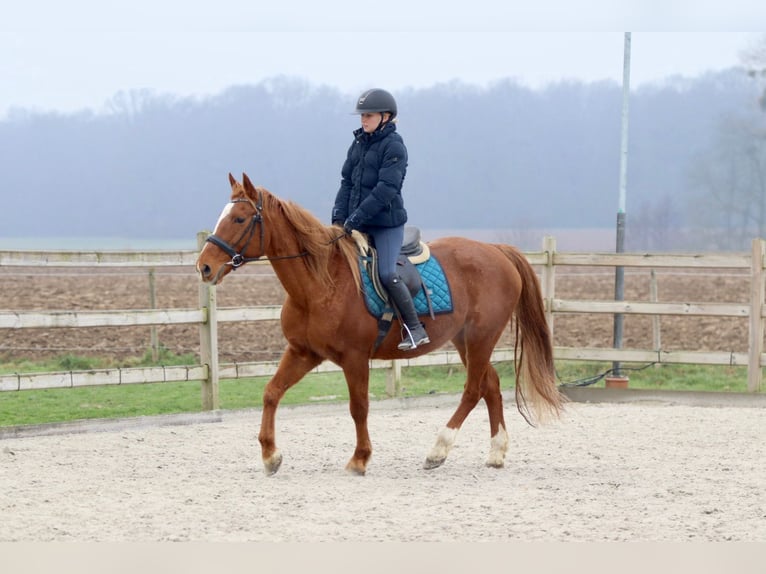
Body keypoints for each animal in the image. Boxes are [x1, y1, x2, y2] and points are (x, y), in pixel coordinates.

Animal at [196, 173, 565, 476]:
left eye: (239, 218)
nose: (204, 267)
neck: (320, 284)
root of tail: (497, 250)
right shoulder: (303, 352)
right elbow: (271, 393)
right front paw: (270, 456)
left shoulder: (355, 358)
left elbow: (359, 407)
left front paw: (360, 458)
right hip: (465, 341)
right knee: (490, 385)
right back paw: (496, 452)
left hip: (480, 338)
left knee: (473, 389)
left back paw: (438, 450)